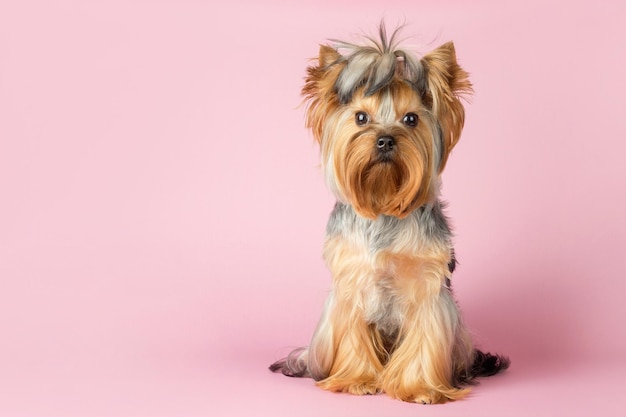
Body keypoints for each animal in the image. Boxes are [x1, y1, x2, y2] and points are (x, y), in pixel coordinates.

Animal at [270, 23, 508, 404]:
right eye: (360, 118)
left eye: (410, 119)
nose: (383, 140)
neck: (383, 203)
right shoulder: (351, 283)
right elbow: (354, 332)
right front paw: (357, 380)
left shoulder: (428, 288)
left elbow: (424, 338)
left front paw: (421, 388)